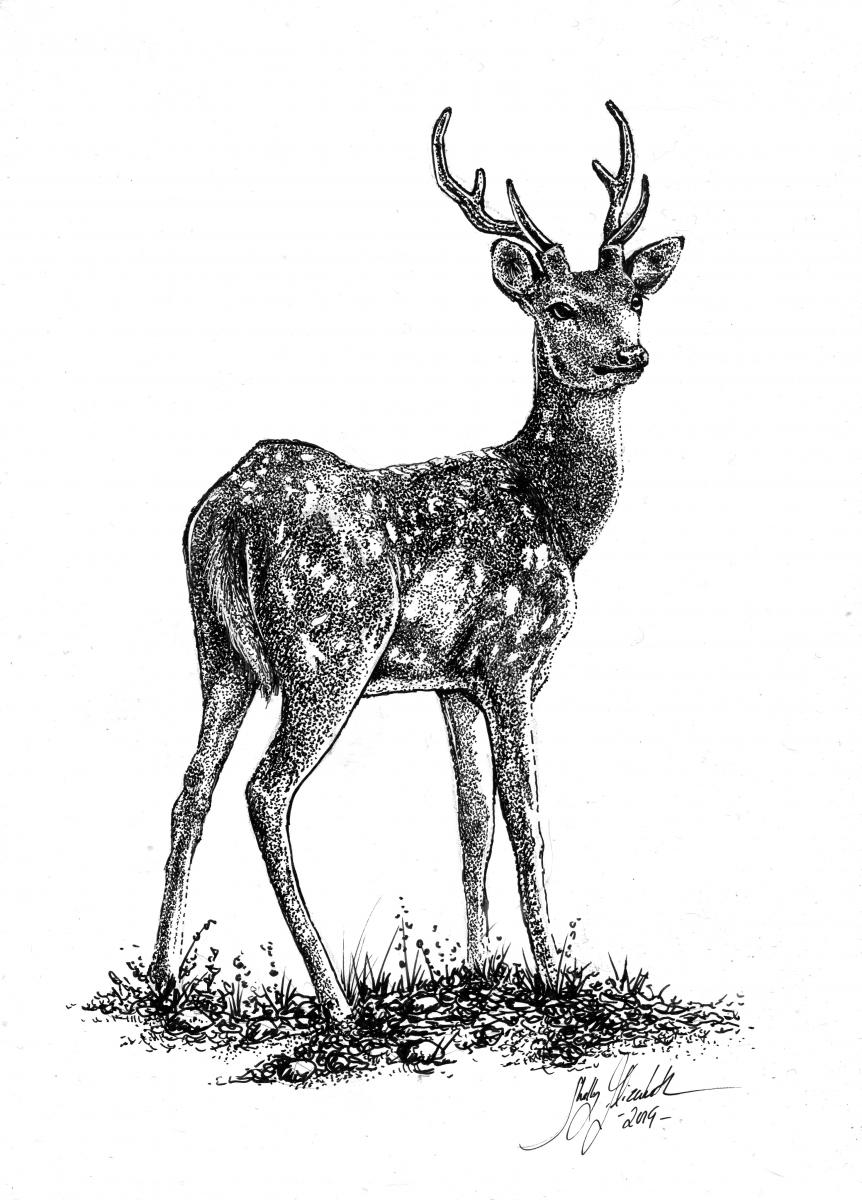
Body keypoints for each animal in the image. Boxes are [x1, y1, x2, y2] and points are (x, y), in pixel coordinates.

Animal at [147, 101, 684, 1023]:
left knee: (190, 790)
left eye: (635, 298)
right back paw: (333, 997)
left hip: (219, 653)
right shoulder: (512, 659)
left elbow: (471, 821)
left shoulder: (453, 680)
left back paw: (163, 978)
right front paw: (552, 975)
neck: (557, 515)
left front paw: (480, 968)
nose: (632, 356)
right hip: (328, 651)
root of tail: (223, 516)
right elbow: (526, 818)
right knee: (265, 790)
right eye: (561, 306)